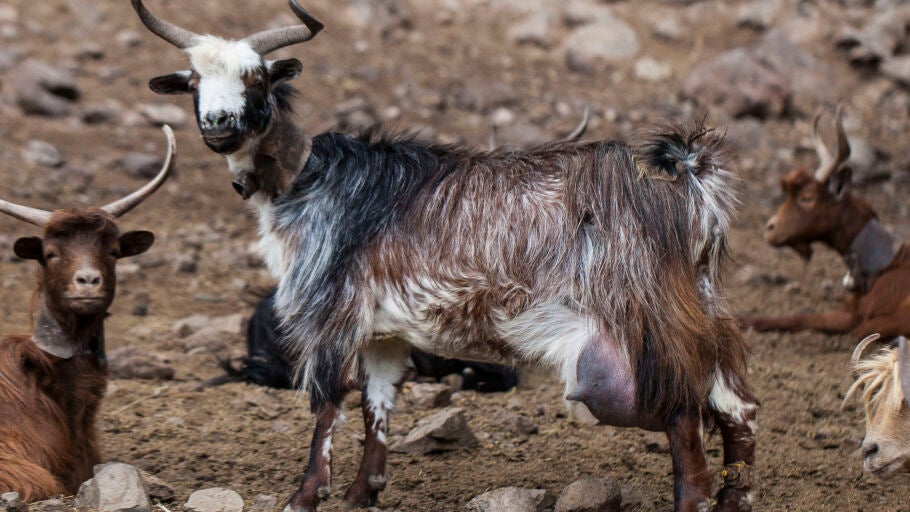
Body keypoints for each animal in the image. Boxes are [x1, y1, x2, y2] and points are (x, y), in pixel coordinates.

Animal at [132, 2, 758, 511]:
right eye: (194, 81)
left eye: (256, 77)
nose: (218, 124)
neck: (309, 176)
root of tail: (690, 185)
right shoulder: (384, 331)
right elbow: (379, 403)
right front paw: (364, 492)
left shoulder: (331, 312)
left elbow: (327, 402)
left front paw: (306, 496)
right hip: (705, 314)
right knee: (737, 407)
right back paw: (735, 499)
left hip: (643, 327)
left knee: (683, 414)